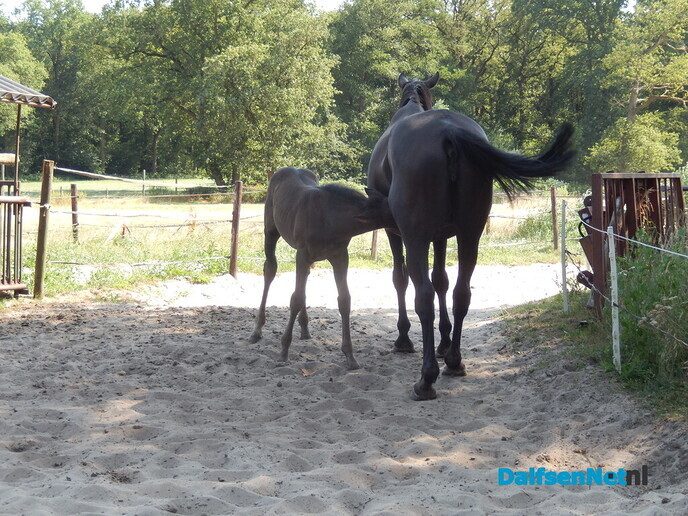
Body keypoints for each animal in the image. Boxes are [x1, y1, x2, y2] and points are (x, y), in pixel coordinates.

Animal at [250, 167, 395, 370]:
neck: (330, 218)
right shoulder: (302, 255)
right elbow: (296, 298)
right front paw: (284, 350)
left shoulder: (340, 257)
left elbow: (344, 300)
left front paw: (350, 356)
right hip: (271, 232)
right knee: (270, 269)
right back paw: (257, 330)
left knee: (305, 278)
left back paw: (304, 328)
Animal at [367, 73, 575, 400]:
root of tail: (448, 132)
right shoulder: (441, 237)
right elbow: (442, 280)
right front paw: (443, 343)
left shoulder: (396, 232)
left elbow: (401, 280)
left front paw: (404, 339)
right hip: (469, 235)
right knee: (461, 293)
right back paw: (454, 360)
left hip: (416, 238)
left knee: (423, 295)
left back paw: (426, 378)